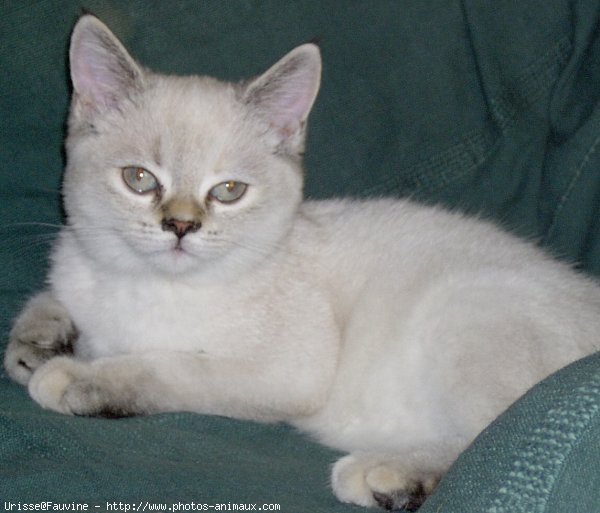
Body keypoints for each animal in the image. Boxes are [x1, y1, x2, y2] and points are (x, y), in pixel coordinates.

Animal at [4, 14, 600, 510]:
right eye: (140, 179)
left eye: (228, 190)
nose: (180, 226)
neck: (141, 285)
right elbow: (49, 309)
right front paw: (39, 341)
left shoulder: (284, 370)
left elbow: (167, 367)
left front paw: (74, 377)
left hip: (465, 311)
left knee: (491, 434)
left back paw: (388, 476)